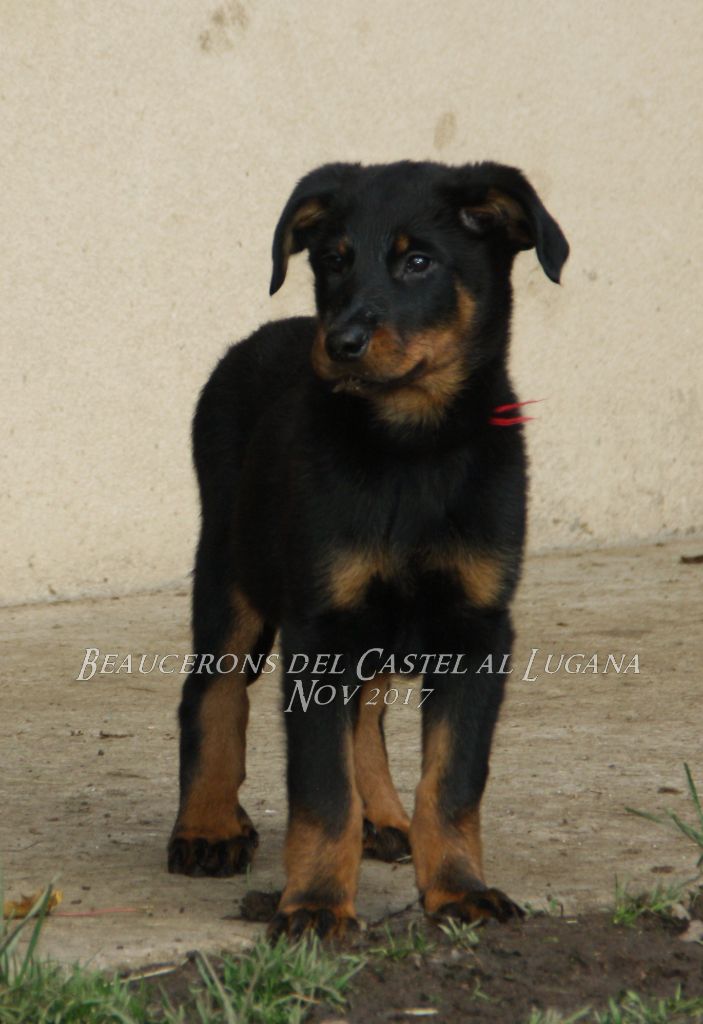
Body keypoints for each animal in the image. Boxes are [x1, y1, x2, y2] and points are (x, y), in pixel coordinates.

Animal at [167, 160, 569, 939]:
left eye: (419, 263)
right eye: (331, 260)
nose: (341, 343)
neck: (410, 447)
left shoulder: (478, 629)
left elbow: (451, 782)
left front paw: (459, 890)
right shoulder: (319, 622)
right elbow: (320, 790)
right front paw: (316, 906)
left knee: (366, 709)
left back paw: (381, 816)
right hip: (230, 565)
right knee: (213, 692)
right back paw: (207, 828)